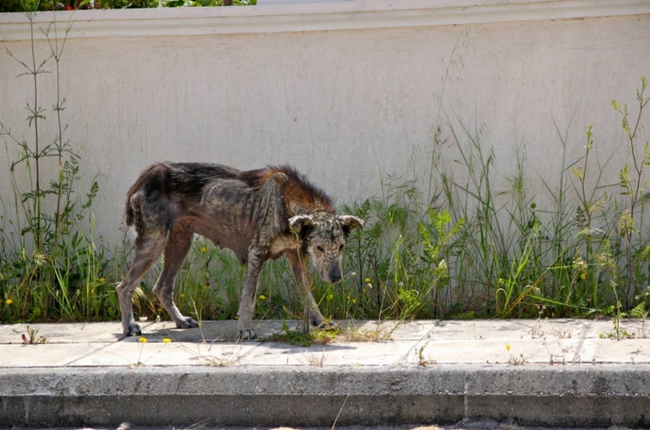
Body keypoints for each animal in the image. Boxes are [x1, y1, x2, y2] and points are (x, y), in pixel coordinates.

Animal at [117, 162, 364, 340]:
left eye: (341, 247)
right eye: (320, 248)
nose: (336, 278)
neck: (285, 202)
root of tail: (147, 176)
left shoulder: (296, 256)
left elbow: (308, 293)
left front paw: (320, 321)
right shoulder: (257, 251)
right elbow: (249, 297)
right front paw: (245, 330)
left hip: (180, 244)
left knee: (162, 287)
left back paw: (180, 321)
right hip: (154, 242)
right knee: (124, 286)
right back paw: (129, 326)